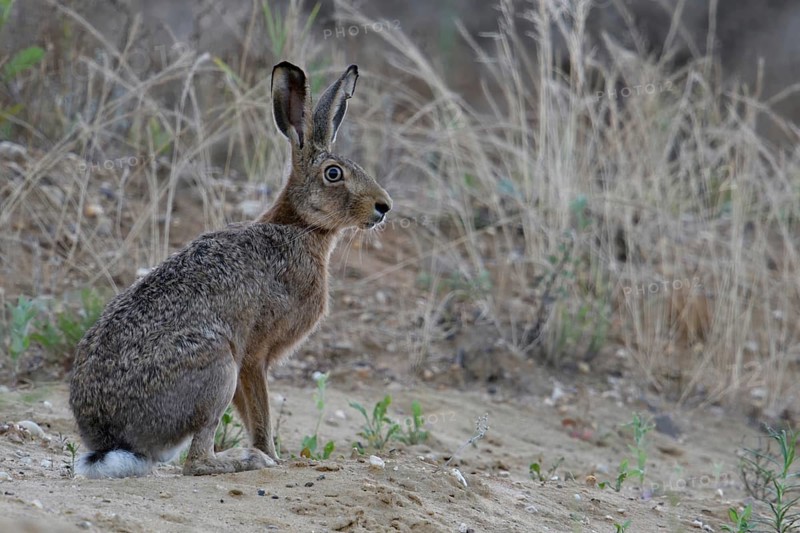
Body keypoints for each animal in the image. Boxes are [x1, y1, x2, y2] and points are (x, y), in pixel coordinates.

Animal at [69, 61, 392, 478]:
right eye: (334, 174)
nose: (383, 206)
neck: (300, 226)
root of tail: (107, 439)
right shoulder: (253, 354)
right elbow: (261, 414)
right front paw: (273, 457)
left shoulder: (247, 366)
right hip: (218, 367)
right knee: (197, 460)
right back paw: (247, 460)